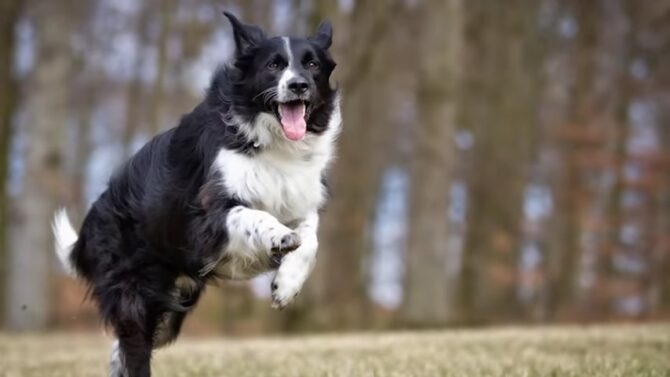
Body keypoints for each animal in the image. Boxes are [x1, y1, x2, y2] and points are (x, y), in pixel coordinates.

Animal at [51, 11, 342, 376]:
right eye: (274, 65)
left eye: (312, 64)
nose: (298, 85)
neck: (272, 141)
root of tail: (89, 228)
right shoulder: (208, 216)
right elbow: (253, 215)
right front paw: (279, 237)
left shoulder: (299, 198)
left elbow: (310, 238)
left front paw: (286, 285)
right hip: (136, 295)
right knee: (133, 348)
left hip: (174, 301)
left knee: (121, 350)